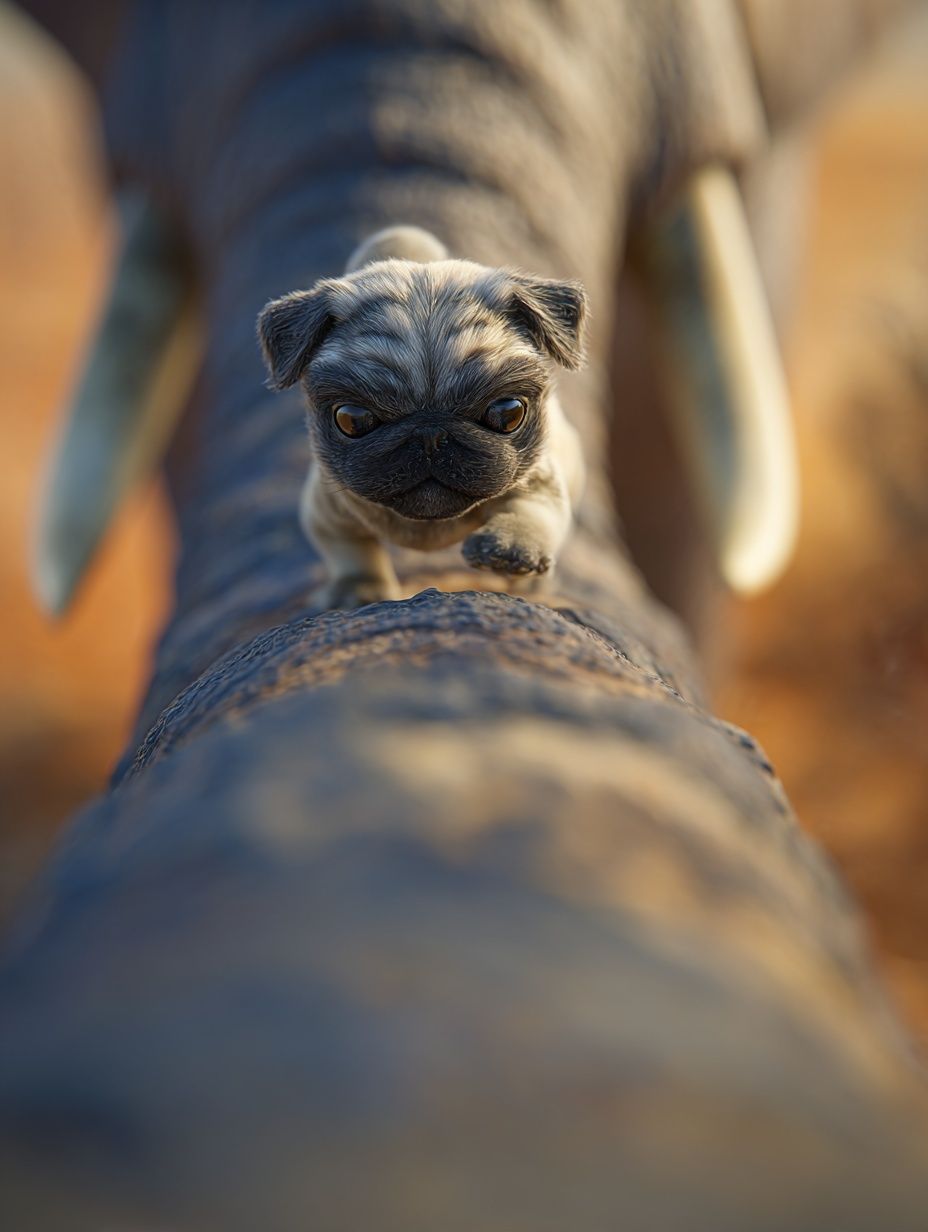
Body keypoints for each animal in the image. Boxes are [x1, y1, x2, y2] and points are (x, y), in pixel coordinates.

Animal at [3, 2, 928, 1230]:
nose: (436, 448)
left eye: (505, 410)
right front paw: (360, 593)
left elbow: (570, 496)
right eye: (351, 417)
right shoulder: (317, 488)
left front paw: (510, 550)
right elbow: (333, 531)